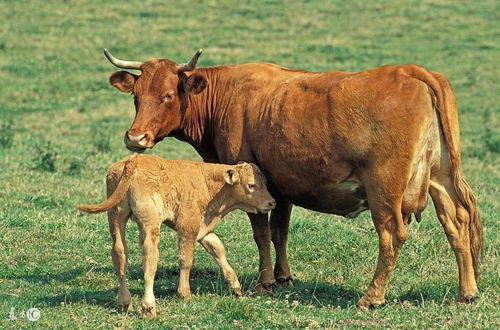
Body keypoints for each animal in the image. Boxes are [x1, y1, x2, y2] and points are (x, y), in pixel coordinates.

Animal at [76, 155, 276, 318]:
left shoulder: (202, 229)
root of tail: (134, 160)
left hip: (116, 218)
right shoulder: (188, 228)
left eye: (265, 183)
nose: (271, 202)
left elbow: (217, 249)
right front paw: (184, 293)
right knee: (149, 261)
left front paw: (235, 285)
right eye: (251, 185)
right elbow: (186, 260)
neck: (205, 181)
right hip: (150, 226)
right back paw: (148, 307)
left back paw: (125, 303)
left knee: (119, 255)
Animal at [103, 49, 482, 310]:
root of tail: (410, 71)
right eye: (136, 96)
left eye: (168, 95)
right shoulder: (280, 185)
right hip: (441, 179)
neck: (226, 95)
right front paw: (283, 276)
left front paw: (265, 281)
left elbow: (261, 233)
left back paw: (372, 296)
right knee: (458, 223)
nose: (135, 138)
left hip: (384, 189)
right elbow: (280, 232)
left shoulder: (252, 185)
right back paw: (467, 291)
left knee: (392, 236)